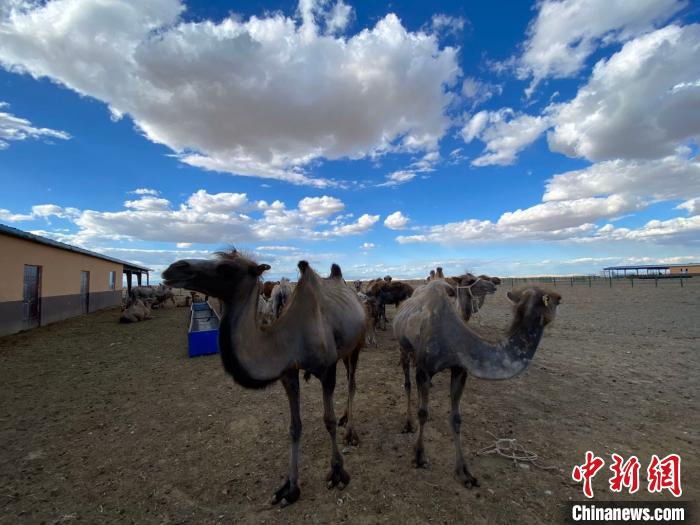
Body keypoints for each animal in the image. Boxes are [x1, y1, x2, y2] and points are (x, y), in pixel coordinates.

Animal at [161, 252, 364, 506]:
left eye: (226, 267)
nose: (174, 268)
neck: (290, 336)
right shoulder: (288, 373)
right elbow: (294, 426)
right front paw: (290, 488)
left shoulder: (326, 369)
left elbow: (328, 420)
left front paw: (337, 473)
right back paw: (346, 420)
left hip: (356, 345)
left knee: (352, 383)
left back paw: (351, 432)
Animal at [394, 280, 564, 490]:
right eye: (557, 300)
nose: (494, 285)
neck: (452, 338)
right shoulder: (424, 369)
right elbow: (423, 413)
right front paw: (419, 457)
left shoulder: (459, 370)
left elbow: (456, 418)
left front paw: (464, 473)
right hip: (403, 347)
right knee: (407, 383)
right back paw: (408, 424)